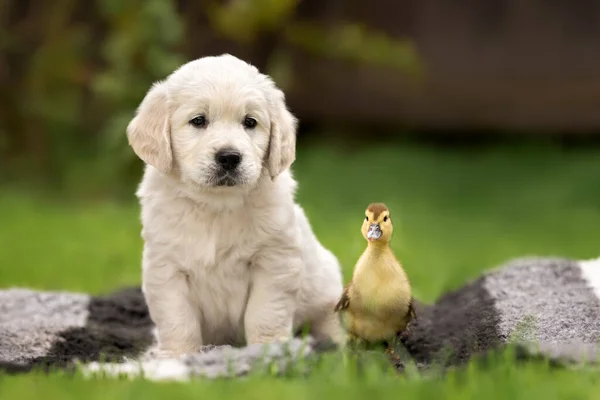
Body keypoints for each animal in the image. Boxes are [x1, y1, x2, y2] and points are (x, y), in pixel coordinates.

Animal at [126, 54, 344, 360]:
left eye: (250, 122)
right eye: (198, 121)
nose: (229, 157)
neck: (216, 206)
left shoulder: (275, 261)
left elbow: (264, 312)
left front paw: (268, 350)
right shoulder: (165, 268)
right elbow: (177, 318)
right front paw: (178, 356)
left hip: (327, 289)